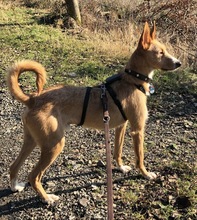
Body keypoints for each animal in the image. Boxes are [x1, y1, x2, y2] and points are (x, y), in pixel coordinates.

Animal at [7, 21, 180, 204]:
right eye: (160, 52)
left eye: (165, 50)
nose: (179, 63)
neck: (132, 80)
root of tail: (33, 99)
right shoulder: (137, 130)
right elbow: (140, 157)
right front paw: (146, 174)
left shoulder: (121, 127)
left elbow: (117, 152)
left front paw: (121, 167)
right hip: (54, 145)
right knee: (33, 176)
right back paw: (47, 198)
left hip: (32, 140)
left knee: (14, 166)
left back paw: (15, 186)